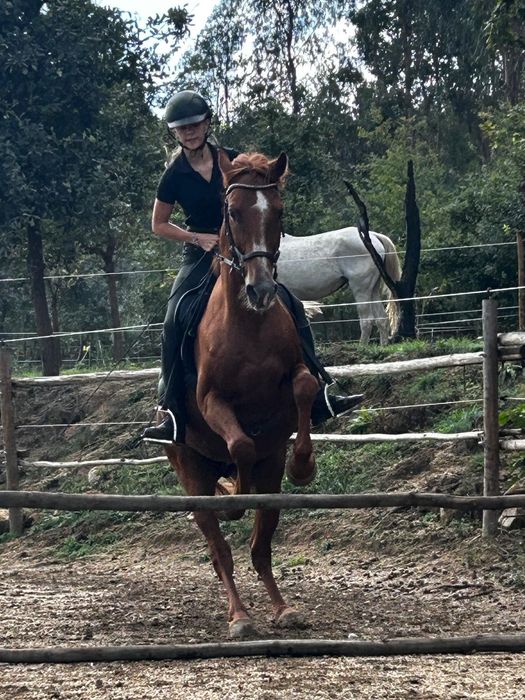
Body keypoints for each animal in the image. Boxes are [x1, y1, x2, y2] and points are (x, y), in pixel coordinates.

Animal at [165, 151, 319, 639]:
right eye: (232, 213)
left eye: (279, 213)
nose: (262, 289)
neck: (248, 324)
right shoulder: (212, 400)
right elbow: (240, 443)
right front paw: (234, 497)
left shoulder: (294, 375)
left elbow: (306, 388)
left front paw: (304, 466)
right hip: (191, 474)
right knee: (221, 551)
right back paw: (240, 617)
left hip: (269, 479)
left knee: (259, 546)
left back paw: (282, 608)